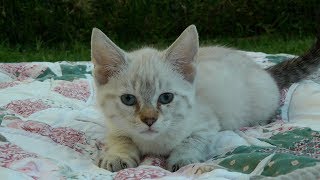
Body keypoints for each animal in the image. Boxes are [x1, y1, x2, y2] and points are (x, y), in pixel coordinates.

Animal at [90, 25, 320, 172]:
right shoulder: (114, 126)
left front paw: (183, 159)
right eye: (128, 99)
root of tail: (262, 69)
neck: (154, 143)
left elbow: (192, 141)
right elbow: (121, 138)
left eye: (166, 97)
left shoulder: (207, 124)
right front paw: (117, 156)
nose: (149, 120)